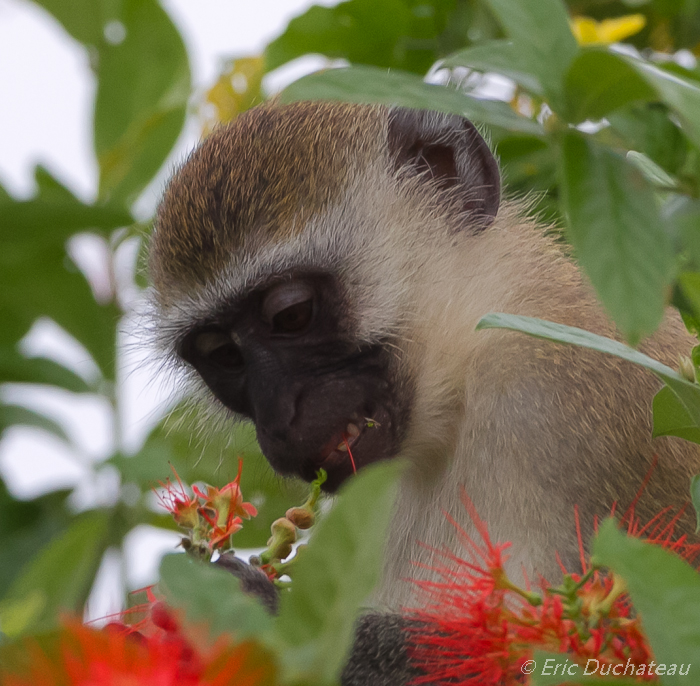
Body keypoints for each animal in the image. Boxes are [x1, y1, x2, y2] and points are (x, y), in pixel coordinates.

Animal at [150, 99, 700, 684]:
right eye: (224, 356)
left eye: (291, 314)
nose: (277, 419)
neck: (462, 381)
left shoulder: (574, 395)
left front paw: (249, 610)